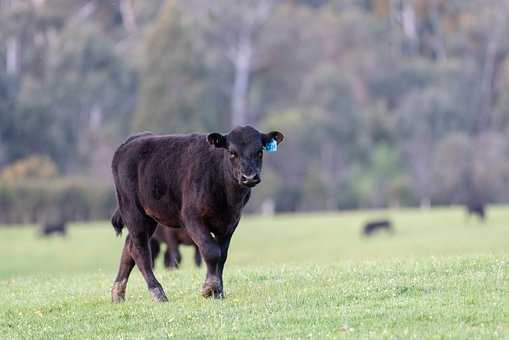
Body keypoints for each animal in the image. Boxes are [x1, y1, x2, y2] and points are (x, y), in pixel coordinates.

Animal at [109, 126, 284, 302]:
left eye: (260, 151)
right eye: (232, 152)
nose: (249, 177)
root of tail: (132, 140)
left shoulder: (230, 222)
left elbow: (222, 255)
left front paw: (219, 291)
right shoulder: (191, 217)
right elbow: (211, 251)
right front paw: (210, 288)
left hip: (150, 217)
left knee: (129, 247)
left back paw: (118, 294)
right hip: (133, 210)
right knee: (141, 250)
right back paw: (157, 292)